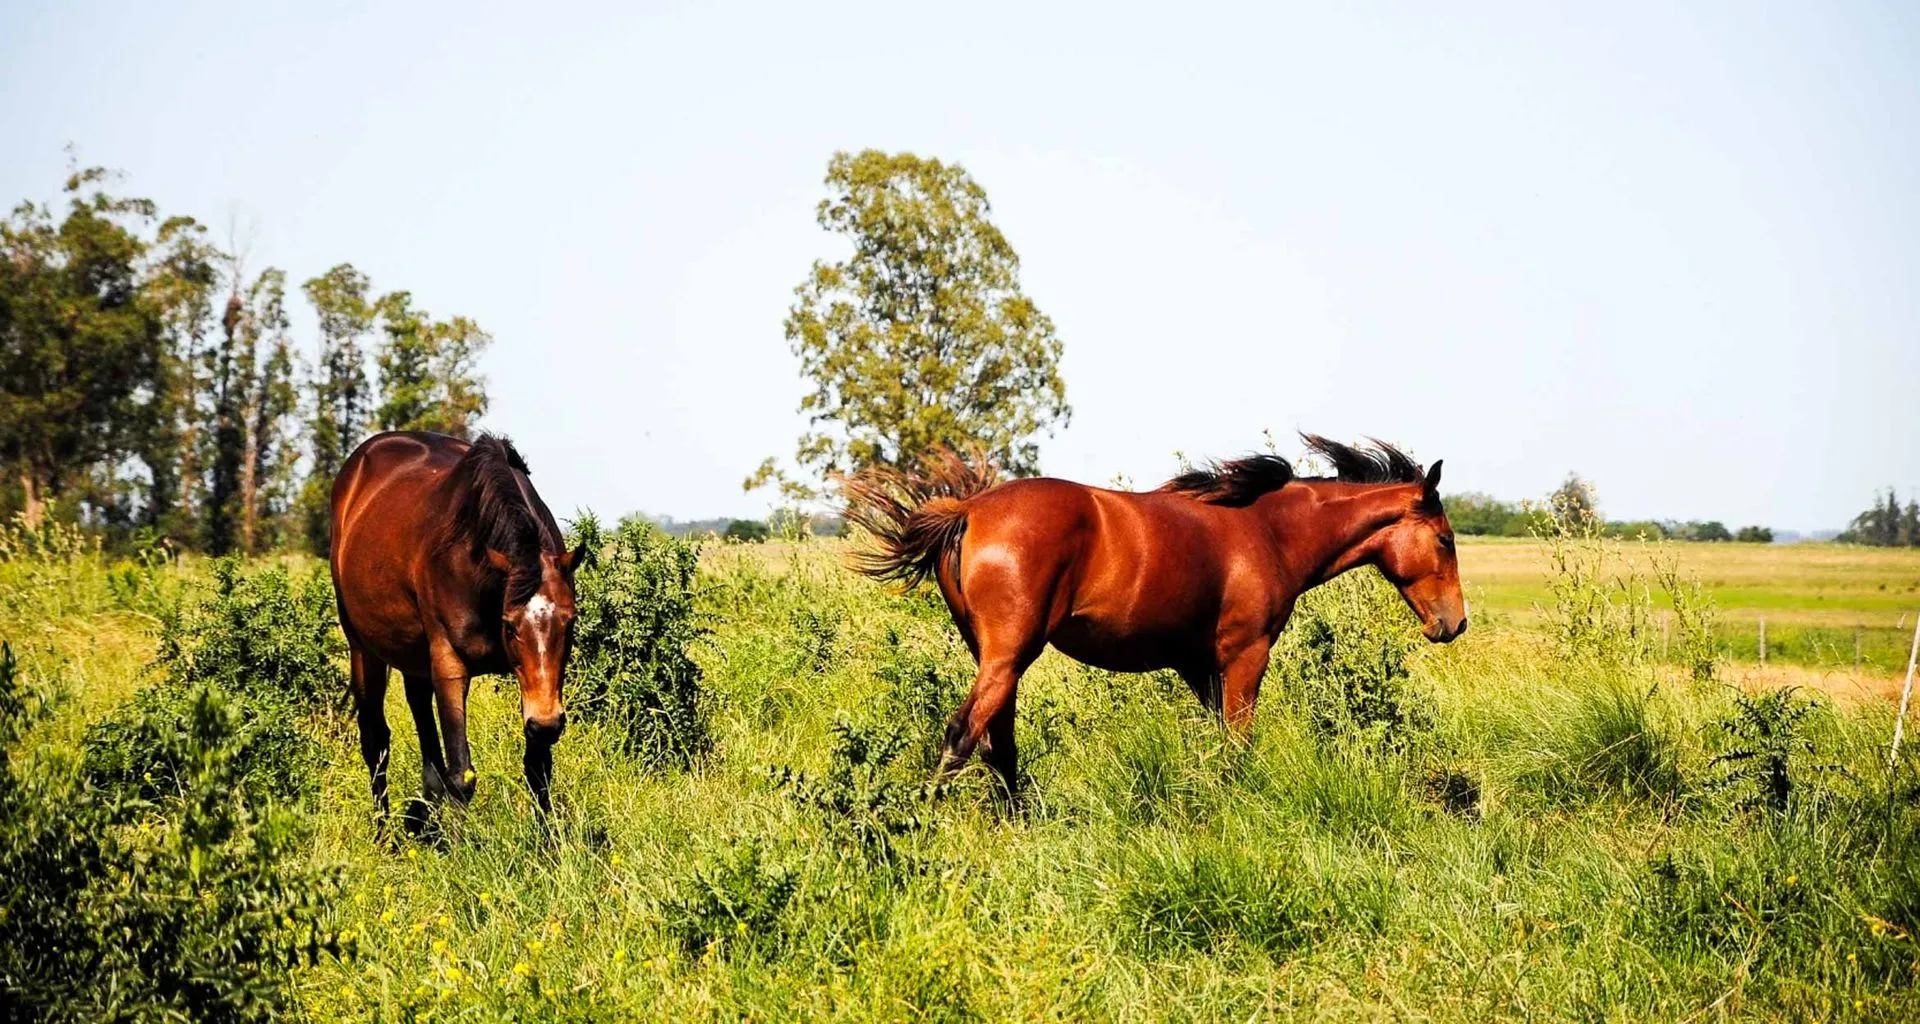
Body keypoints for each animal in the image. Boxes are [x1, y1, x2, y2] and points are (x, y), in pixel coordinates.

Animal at [329, 431, 584, 826]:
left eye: (569, 622)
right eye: (510, 626)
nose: (547, 723)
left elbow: (538, 767)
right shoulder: (450, 666)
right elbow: (462, 775)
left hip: (413, 656)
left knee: (421, 721)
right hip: (362, 648)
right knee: (376, 741)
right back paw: (384, 833)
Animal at [841, 434, 1467, 795]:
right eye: (1445, 539)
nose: (1454, 623)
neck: (1267, 531)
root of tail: (969, 509)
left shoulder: (1198, 665)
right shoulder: (1246, 657)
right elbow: (1238, 744)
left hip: (998, 659)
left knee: (1000, 742)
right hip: (1008, 656)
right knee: (962, 735)